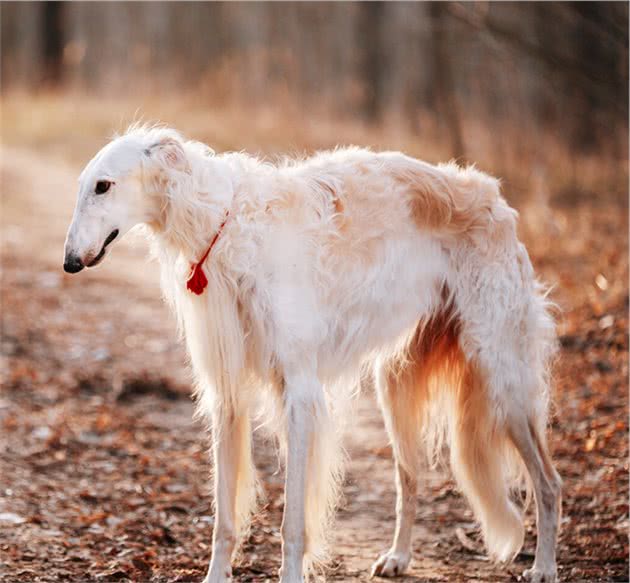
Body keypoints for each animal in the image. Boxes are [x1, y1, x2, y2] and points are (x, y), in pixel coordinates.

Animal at [63, 128, 564, 583]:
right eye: (84, 185)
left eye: (103, 186)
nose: (69, 263)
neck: (225, 225)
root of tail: (496, 199)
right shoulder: (228, 394)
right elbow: (225, 518)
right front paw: (216, 576)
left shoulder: (299, 392)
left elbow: (293, 522)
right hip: (396, 384)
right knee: (411, 477)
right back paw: (398, 557)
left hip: (502, 377)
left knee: (548, 482)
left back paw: (544, 566)